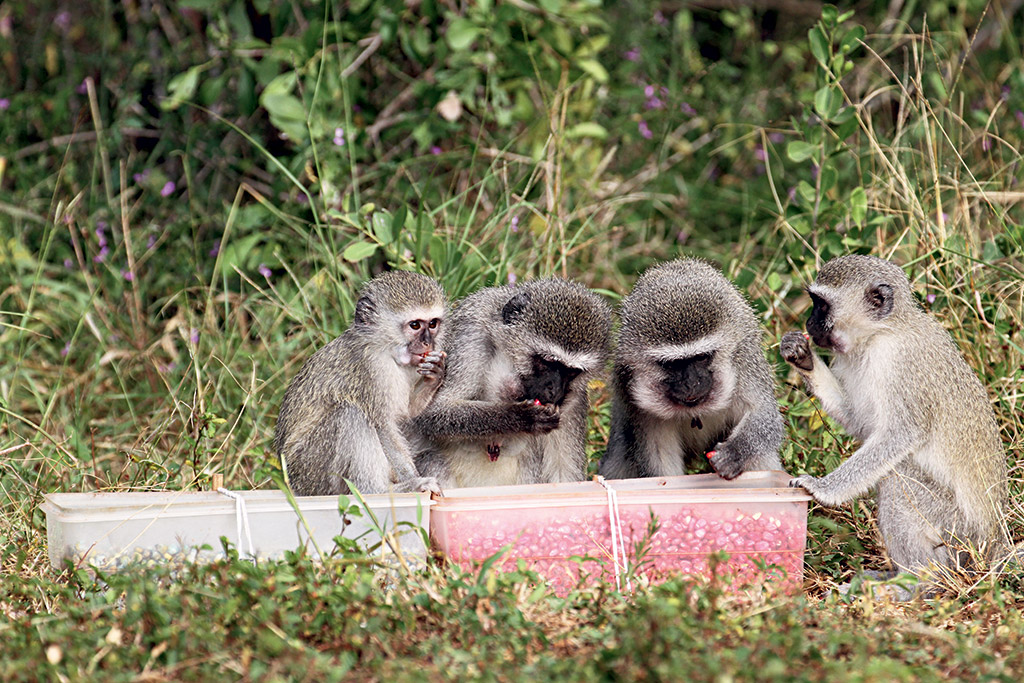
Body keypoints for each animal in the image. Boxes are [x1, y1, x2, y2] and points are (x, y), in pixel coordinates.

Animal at [274, 270, 447, 496]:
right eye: (415, 325)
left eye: (433, 324)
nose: (428, 343)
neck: (384, 349)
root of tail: (294, 486)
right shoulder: (370, 371)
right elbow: (384, 427)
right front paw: (415, 481)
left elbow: (407, 413)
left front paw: (434, 374)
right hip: (312, 473)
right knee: (349, 413)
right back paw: (376, 491)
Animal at [412, 279, 613, 489]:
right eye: (546, 361)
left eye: (572, 371)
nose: (555, 391)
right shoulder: (471, 337)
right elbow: (434, 410)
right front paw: (522, 416)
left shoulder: (573, 400)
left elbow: (565, 475)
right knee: (431, 458)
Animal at [598, 259, 785, 481]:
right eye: (673, 364)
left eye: (701, 357)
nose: (691, 384)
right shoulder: (629, 387)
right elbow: (659, 455)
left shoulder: (744, 361)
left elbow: (765, 415)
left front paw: (735, 452)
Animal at [780, 254, 1008, 583]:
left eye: (821, 305)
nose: (809, 322)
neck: (883, 330)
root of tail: (995, 543)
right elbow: (862, 424)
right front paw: (802, 356)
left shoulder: (897, 363)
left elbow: (901, 434)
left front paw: (821, 489)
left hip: (958, 535)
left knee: (900, 477)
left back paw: (919, 582)